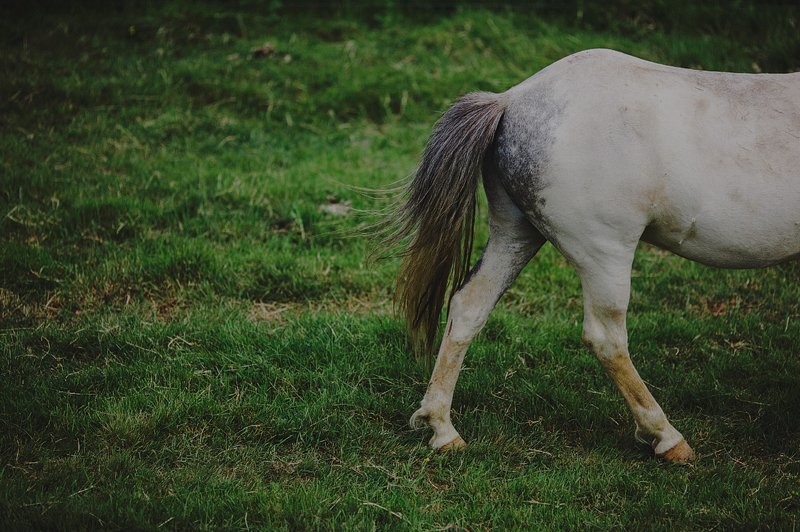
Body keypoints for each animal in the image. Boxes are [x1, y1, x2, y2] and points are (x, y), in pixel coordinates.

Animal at [384, 50, 796, 464]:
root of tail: (512, 100)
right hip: (605, 254)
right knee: (606, 338)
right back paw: (666, 437)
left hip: (515, 235)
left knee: (469, 307)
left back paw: (442, 428)